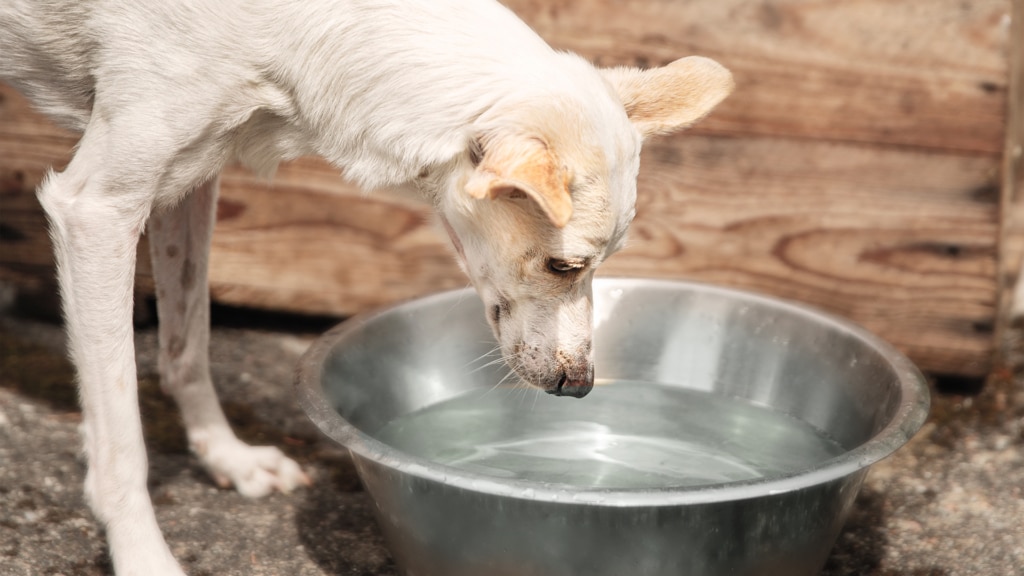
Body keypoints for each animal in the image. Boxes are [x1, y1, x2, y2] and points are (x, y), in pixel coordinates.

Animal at [2, 0, 737, 569]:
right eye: (564, 266)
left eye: (604, 260)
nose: (581, 385)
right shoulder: (96, 210)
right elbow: (121, 439)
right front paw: (143, 557)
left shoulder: (188, 182)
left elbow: (187, 343)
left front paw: (228, 457)